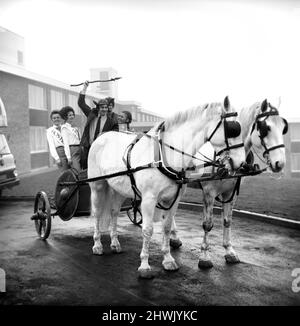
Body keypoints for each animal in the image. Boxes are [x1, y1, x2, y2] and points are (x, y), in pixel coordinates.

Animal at [87, 96, 246, 278]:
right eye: (233, 129)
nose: (242, 163)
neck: (164, 156)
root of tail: (102, 137)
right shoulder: (149, 199)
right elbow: (148, 230)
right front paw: (144, 265)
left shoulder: (174, 199)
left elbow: (167, 227)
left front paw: (168, 259)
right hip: (98, 186)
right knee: (97, 213)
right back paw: (97, 244)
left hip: (118, 188)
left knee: (113, 212)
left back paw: (114, 243)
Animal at [170, 99, 288, 268]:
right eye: (266, 128)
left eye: (283, 127)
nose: (280, 163)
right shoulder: (209, 193)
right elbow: (208, 224)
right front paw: (204, 256)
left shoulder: (231, 193)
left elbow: (227, 221)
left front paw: (229, 251)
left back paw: (174, 238)